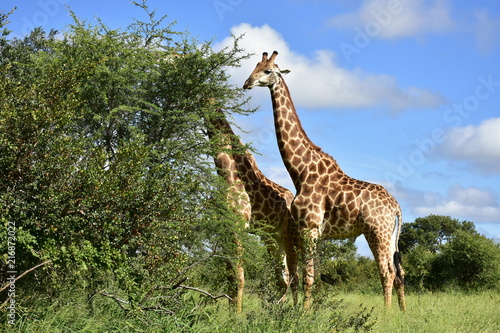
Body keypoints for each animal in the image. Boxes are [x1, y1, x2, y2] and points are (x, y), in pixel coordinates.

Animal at [206, 107, 298, 312]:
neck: (226, 171)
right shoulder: (224, 228)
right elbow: (230, 275)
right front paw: (231, 311)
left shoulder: (239, 224)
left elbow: (240, 275)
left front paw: (237, 315)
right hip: (274, 240)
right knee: (283, 278)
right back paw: (277, 311)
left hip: (290, 237)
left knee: (294, 277)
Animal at [243, 50, 406, 310]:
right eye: (254, 67)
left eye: (267, 71)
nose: (247, 83)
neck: (300, 171)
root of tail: (397, 207)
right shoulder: (316, 232)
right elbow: (315, 277)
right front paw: (312, 310)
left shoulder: (309, 227)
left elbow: (308, 277)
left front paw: (305, 312)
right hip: (390, 235)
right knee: (399, 272)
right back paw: (402, 312)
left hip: (376, 232)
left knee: (387, 272)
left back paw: (387, 313)